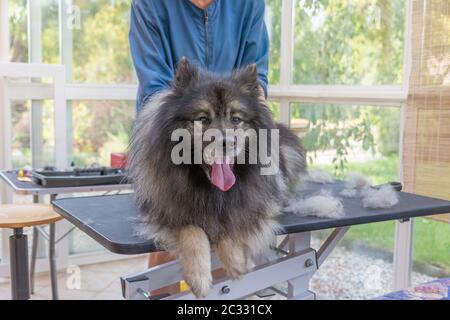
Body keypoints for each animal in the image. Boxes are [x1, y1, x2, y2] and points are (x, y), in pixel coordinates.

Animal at [128, 58, 308, 298]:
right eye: (203, 119)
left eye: (236, 119)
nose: (227, 142)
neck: (210, 188)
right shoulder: (166, 212)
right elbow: (192, 231)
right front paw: (199, 276)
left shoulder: (252, 207)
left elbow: (232, 221)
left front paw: (235, 260)